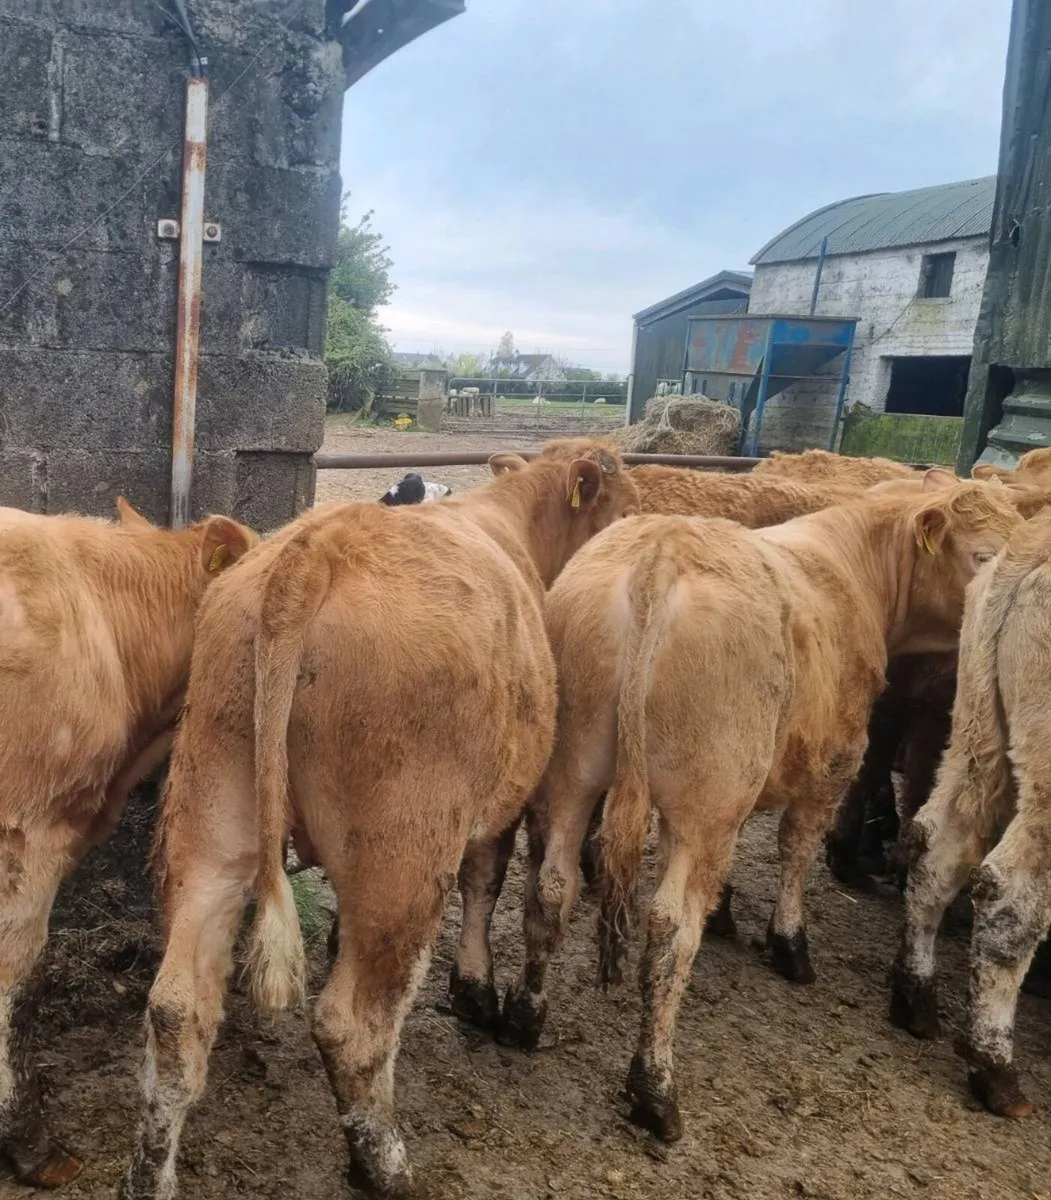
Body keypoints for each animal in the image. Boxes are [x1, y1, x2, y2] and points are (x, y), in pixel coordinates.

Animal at [121, 438, 639, 1200]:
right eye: (626, 510)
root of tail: (317, 548)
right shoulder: (499, 806)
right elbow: (488, 883)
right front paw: (482, 996)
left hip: (214, 813)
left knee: (177, 1011)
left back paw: (149, 1175)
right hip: (406, 850)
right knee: (354, 1025)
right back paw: (385, 1164)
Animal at [495, 475, 1022, 1145]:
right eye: (982, 555)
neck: (853, 564)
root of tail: (662, 552)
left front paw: (725, 913)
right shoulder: (833, 762)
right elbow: (796, 849)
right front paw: (789, 942)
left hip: (575, 774)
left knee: (551, 890)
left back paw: (525, 1016)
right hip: (702, 802)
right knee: (669, 932)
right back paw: (655, 1089)